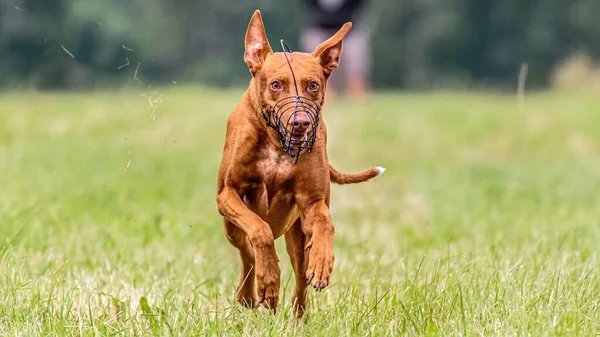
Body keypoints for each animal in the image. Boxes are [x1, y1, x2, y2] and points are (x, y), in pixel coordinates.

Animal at [216, 8, 384, 318]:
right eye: (276, 85)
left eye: (313, 85)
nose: (301, 123)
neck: (277, 145)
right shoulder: (228, 194)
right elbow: (259, 230)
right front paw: (268, 281)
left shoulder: (312, 203)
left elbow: (325, 224)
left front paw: (322, 260)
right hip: (230, 227)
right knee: (247, 252)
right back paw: (251, 293)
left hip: (296, 235)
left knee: (299, 282)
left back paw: (297, 316)